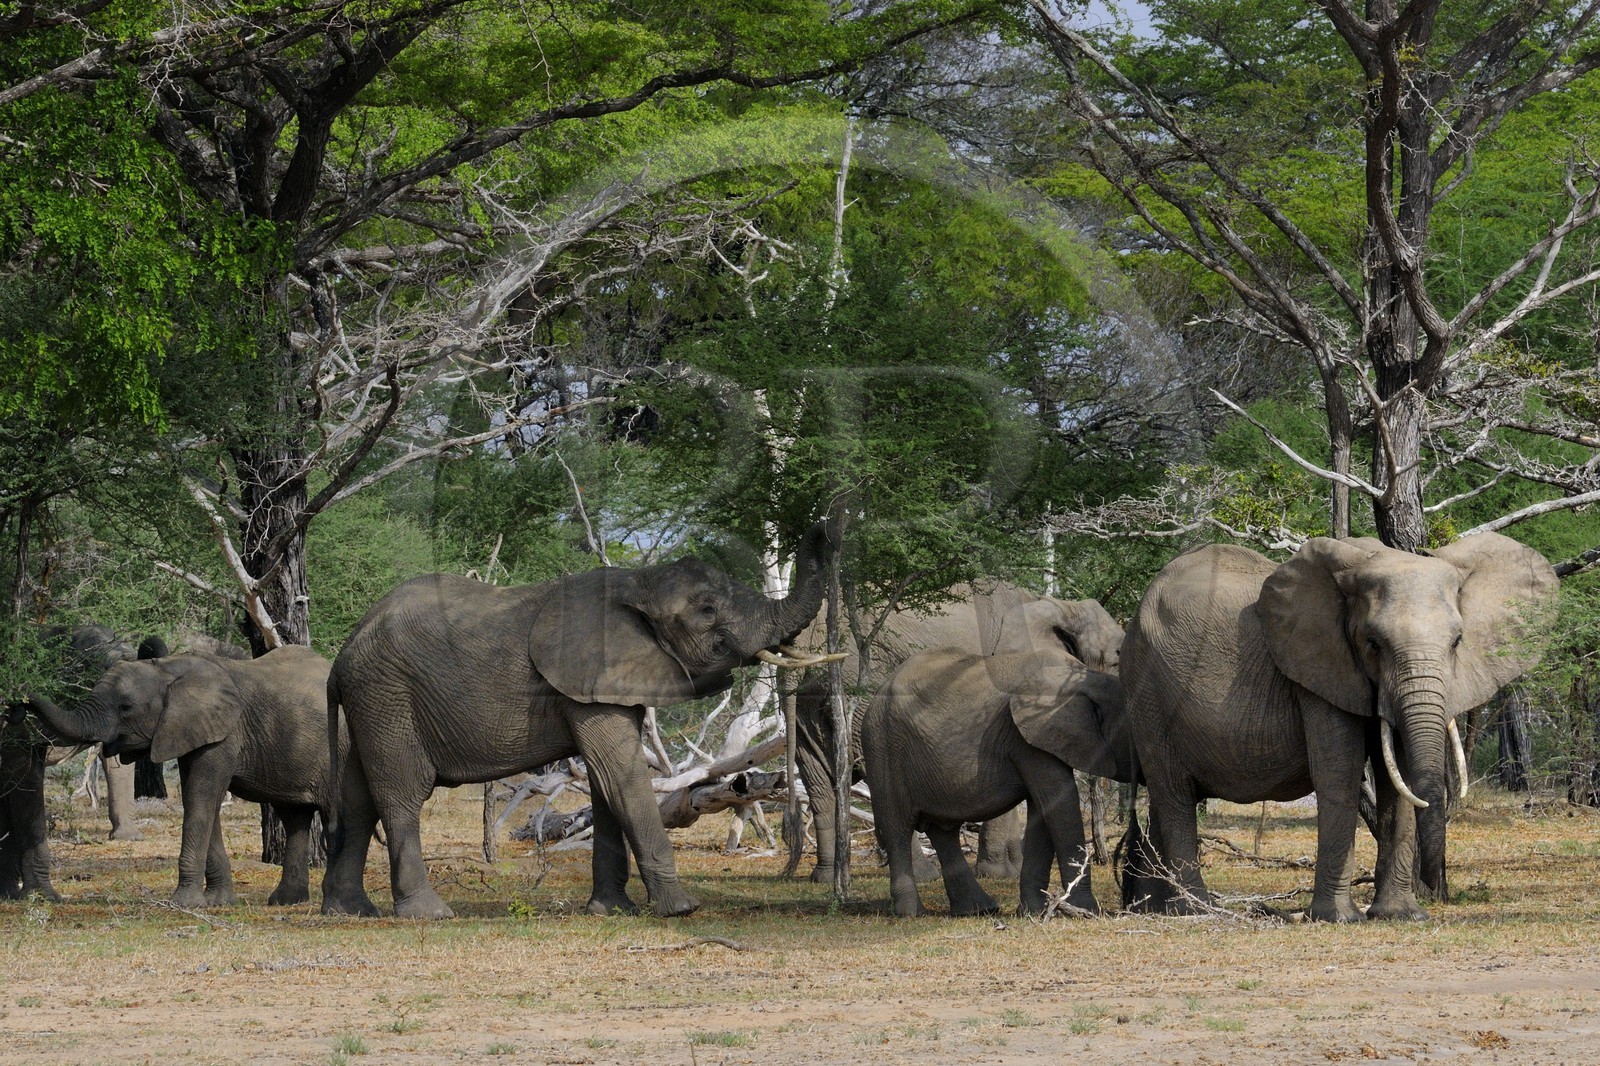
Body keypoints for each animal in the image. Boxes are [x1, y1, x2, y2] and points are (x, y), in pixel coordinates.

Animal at [31, 645, 338, 907]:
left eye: (125, 707)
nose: (23, 701)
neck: (166, 669)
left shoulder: (224, 733)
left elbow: (201, 797)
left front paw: (183, 904)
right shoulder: (189, 731)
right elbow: (199, 799)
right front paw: (217, 902)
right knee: (296, 817)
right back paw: (286, 901)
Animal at [320, 521, 836, 919]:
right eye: (707, 611)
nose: (826, 523)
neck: (638, 582)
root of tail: (342, 656)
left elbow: (606, 784)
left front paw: (613, 911)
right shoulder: (588, 676)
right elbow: (621, 776)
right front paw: (680, 909)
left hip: (372, 702)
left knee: (359, 799)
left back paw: (349, 911)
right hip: (387, 695)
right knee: (401, 794)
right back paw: (428, 914)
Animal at [792, 582, 1123, 884]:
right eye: (1118, 658)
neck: (1057, 604)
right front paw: (1001, 874)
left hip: (808, 704)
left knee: (818, 780)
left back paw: (825, 877)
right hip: (866, 684)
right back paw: (925, 875)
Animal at [861, 611, 1133, 917]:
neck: (1088, 679)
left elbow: (1044, 808)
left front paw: (1032, 913)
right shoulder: (1026, 737)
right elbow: (1060, 803)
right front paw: (1086, 911)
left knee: (943, 831)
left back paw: (978, 909)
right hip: (882, 746)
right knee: (897, 828)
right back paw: (912, 913)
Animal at [1119, 532, 1556, 922]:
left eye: (1457, 641)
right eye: (1373, 643)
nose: (1434, 888)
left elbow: (1397, 781)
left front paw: (1402, 916)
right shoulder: (1319, 669)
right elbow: (1339, 773)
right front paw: (1340, 919)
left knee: (1164, 799)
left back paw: (1153, 909)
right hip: (1148, 694)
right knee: (1174, 795)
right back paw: (1197, 911)